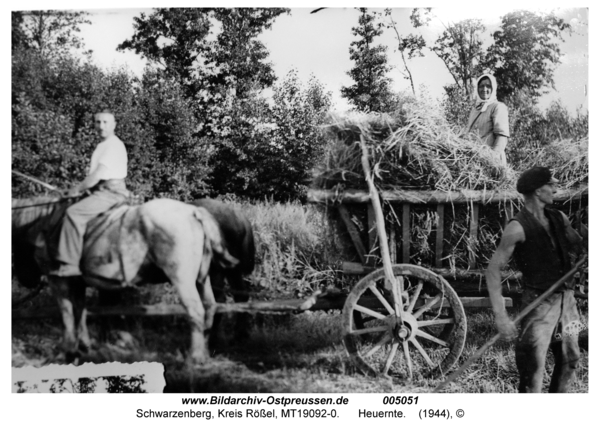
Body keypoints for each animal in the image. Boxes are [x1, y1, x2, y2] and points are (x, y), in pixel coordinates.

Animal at [11, 197, 237, 364]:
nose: (25, 279)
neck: (45, 224)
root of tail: (194, 212)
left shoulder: (58, 281)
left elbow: (67, 314)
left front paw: (67, 351)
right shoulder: (77, 283)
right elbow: (79, 312)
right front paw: (83, 346)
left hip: (182, 280)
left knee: (196, 311)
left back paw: (195, 357)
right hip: (202, 279)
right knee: (210, 307)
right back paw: (204, 351)